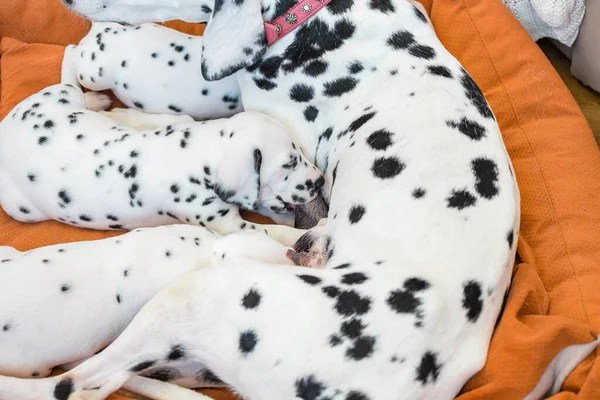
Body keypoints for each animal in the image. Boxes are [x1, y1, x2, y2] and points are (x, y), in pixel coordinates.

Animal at [0, 84, 324, 245]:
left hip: (64, 92)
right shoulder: (230, 225)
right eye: (288, 163)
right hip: (21, 209)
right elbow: (278, 232)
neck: (195, 156)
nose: (320, 181)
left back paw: (98, 103)